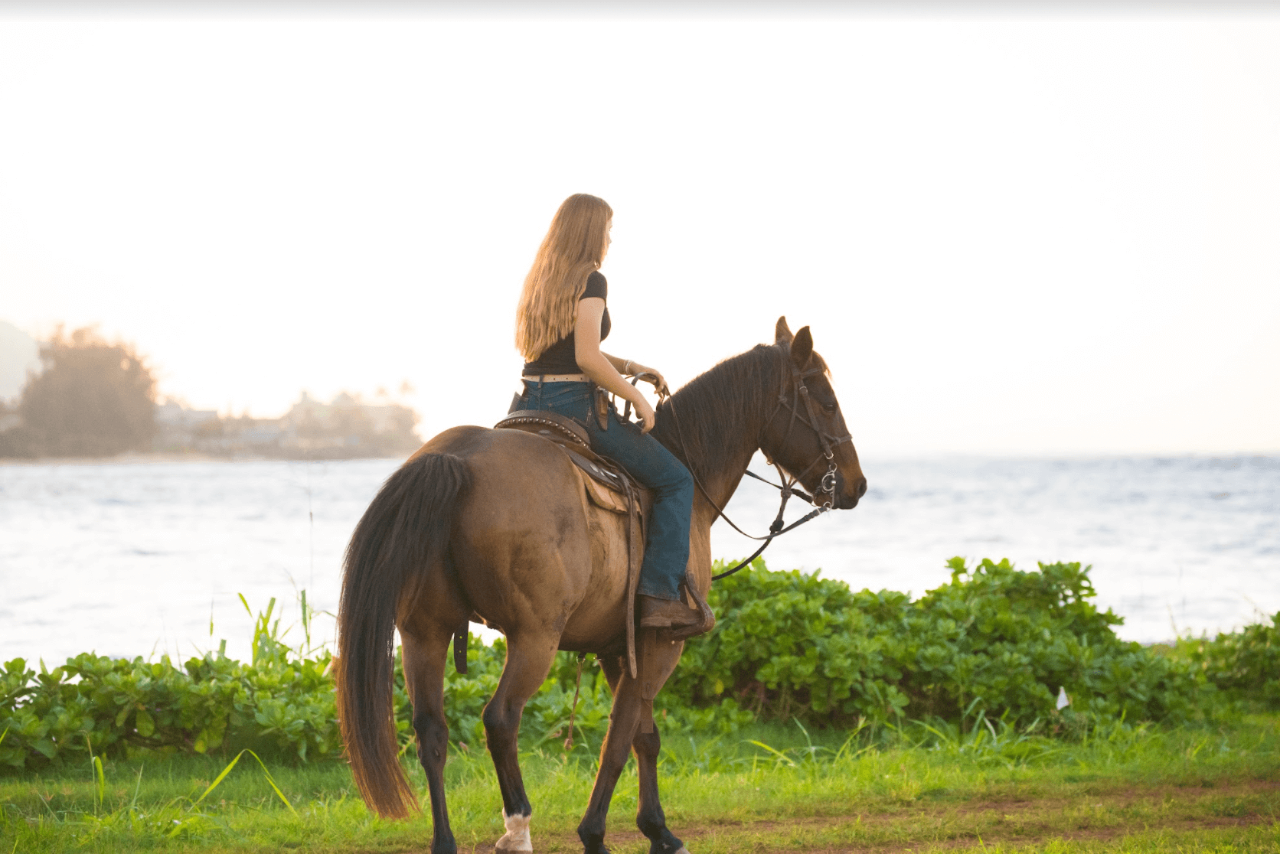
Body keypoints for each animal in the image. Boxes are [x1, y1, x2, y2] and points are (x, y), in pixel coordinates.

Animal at [335, 320, 865, 854]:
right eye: (826, 403)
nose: (857, 485)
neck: (689, 474)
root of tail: (455, 459)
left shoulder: (619, 646)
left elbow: (644, 736)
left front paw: (658, 830)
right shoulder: (660, 643)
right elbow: (619, 739)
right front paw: (596, 834)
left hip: (424, 632)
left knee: (431, 731)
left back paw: (445, 840)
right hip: (535, 638)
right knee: (501, 719)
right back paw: (518, 828)